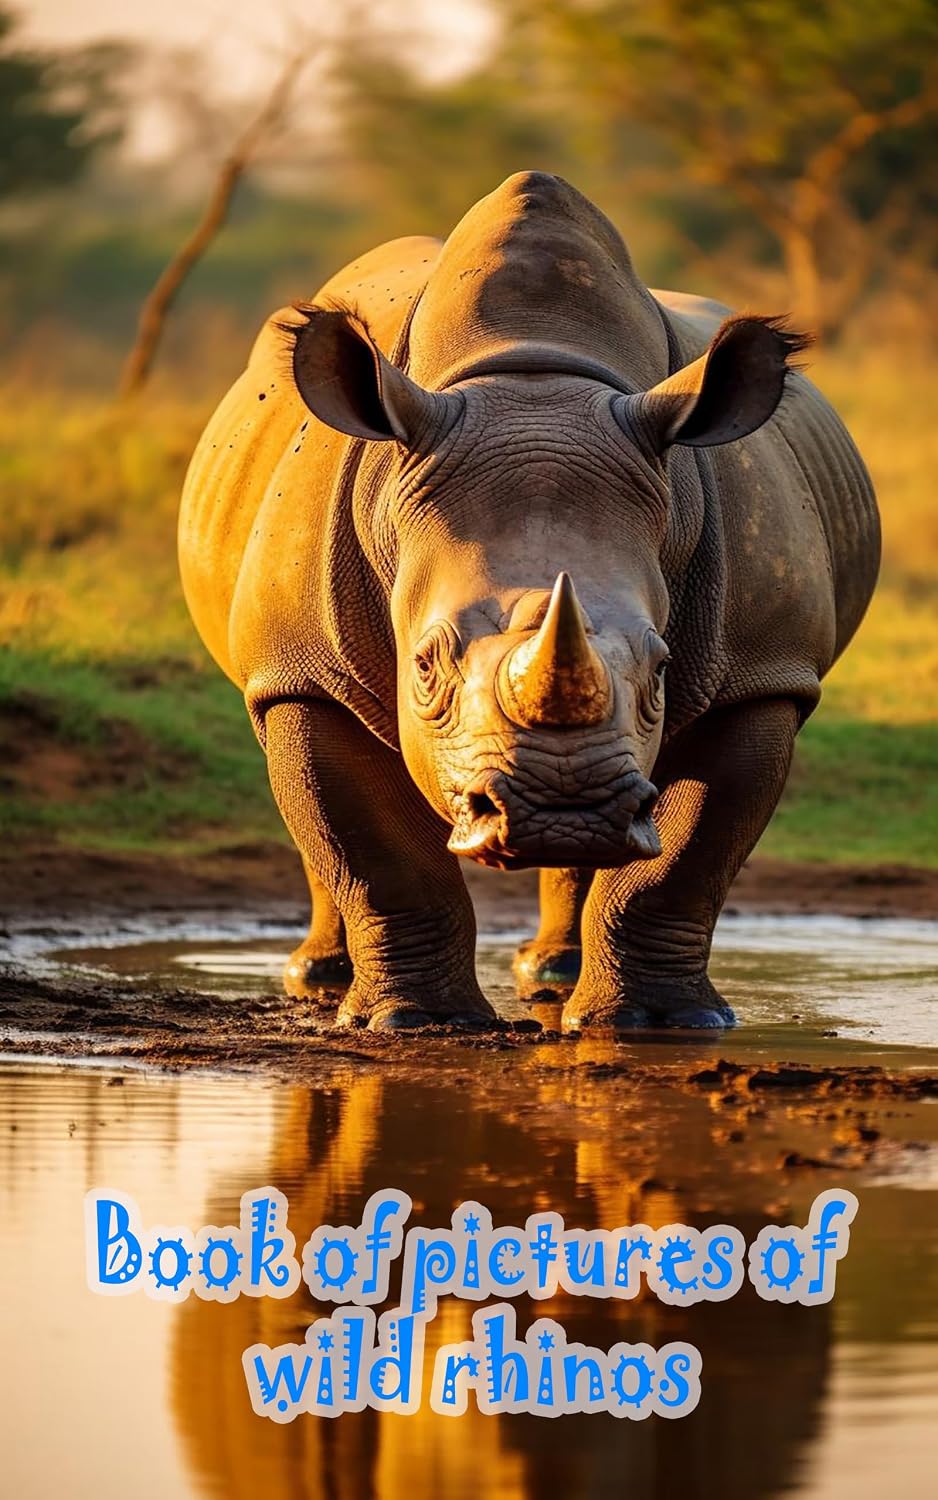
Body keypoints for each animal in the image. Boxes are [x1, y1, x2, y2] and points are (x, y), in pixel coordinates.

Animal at [179, 172, 879, 1031]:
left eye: (661, 669)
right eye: (424, 667)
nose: (562, 811)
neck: (532, 379)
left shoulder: (763, 674)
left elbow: (684, 862)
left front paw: (658, 1026)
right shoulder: (303, 670)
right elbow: (372, 852)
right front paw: (416, 1024)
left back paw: (552, 970)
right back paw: (319, 980)